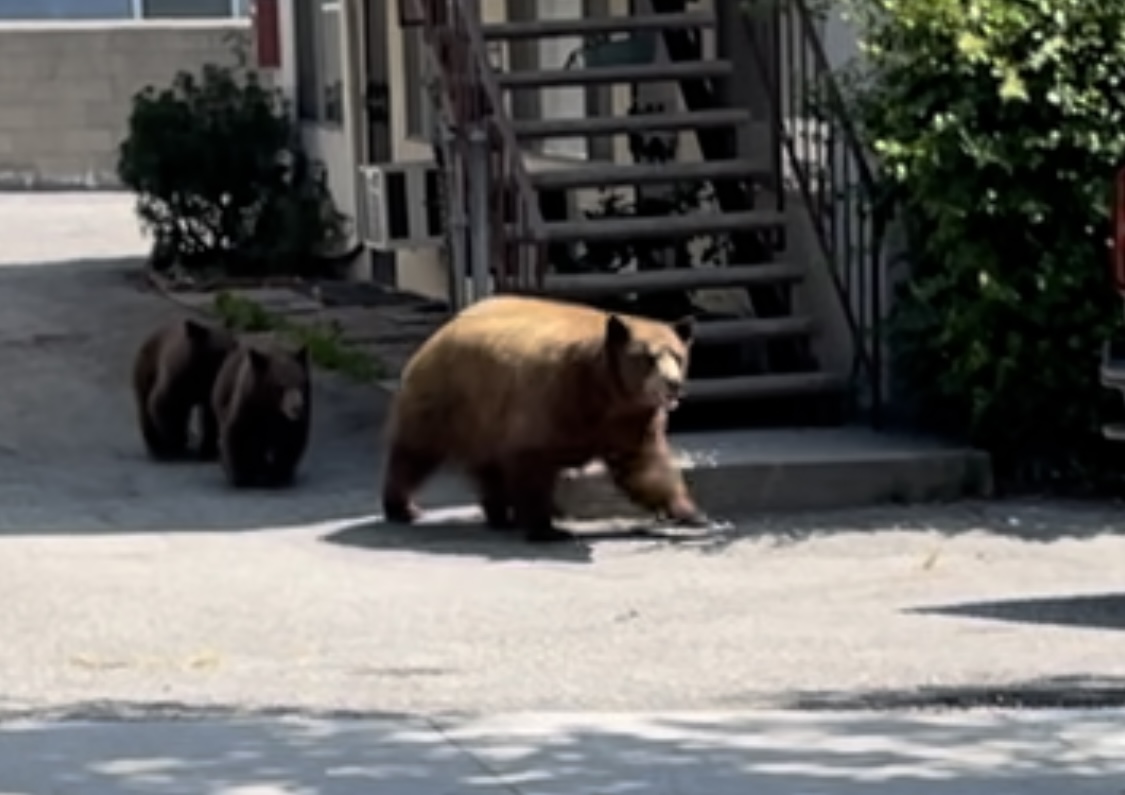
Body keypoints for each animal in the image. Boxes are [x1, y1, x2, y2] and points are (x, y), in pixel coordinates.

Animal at [132, 317, 237, 461]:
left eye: (236, 344)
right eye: (222, 350)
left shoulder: (209, 387)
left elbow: (210, 415)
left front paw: (208, 449)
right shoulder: (177, 376)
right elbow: (162, 404)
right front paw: (176, 443)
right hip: (146, 368)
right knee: (145, 407)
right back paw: (156, 445)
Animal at [211, 340, 312, 488]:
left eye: (301, 384)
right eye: (281, 386)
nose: (297, 407)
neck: (271, 407)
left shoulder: (298, 416)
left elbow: (293, 438)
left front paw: (279, 474)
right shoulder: (247, 403)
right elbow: (236, 432)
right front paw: (240, 475)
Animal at [380, 294, 709, 543]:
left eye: (678, 355)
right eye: (648, 358)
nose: (673, 384)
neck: (604, 391)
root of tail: (443, 330)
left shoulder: (631, 418)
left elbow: (645, 465)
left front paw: (693, 514)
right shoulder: (553, 397)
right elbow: (532, 459)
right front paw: (546, 529)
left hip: (484, 418)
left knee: (487, 467)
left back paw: (499, 515)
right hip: (448, 398)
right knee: (415, 453)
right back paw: (403, 507)